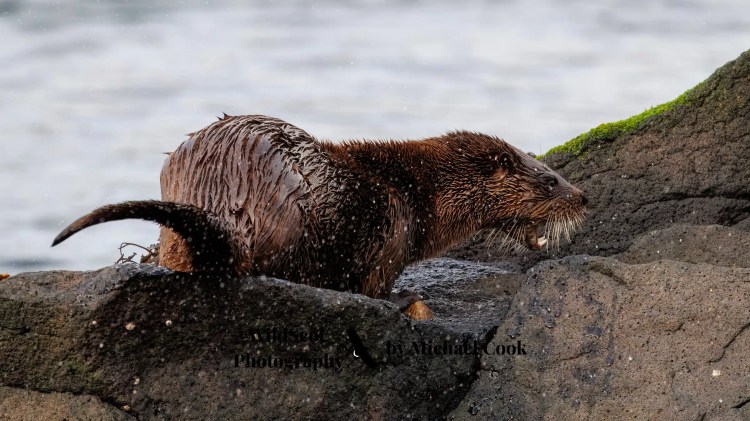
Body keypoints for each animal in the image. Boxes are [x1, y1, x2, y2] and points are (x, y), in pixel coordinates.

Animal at [52, 115, 587, 320]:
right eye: (549, 180)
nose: (582, 198)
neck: (416, 193)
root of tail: (226, 201)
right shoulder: (390, 235)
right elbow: (374, 287)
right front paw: (407, 300)